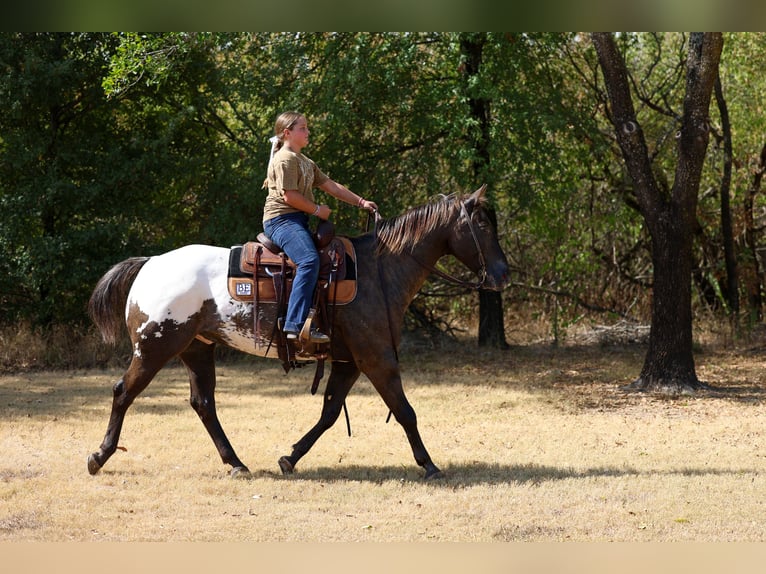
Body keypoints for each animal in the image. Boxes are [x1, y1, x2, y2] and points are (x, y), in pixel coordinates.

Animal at [86, 184, 509, 480]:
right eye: (482, 224)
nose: (503, 274)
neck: (380, 271)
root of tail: (150, 263)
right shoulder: (377, 358)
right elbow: (405, 411)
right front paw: (430, 465)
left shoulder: (349, 361)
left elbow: (330, 413)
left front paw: (290, 457)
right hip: (154, 348)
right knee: (123, 392)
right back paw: (99, 456)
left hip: (197, 349)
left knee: (204, 404)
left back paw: (236, 463)